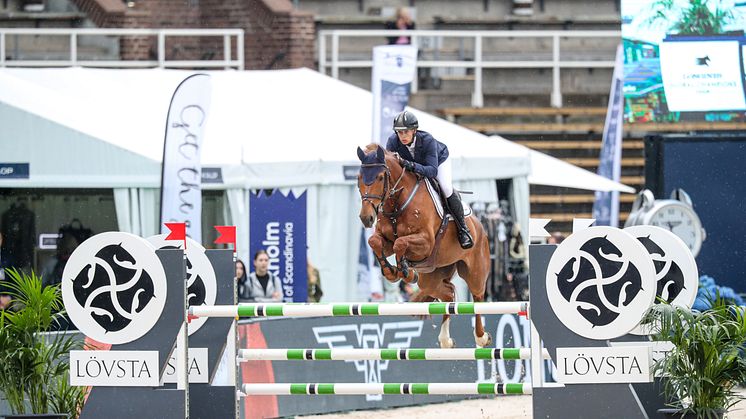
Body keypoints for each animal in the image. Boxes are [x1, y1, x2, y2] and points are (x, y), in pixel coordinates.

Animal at [356, 144, 492, 348]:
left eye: (380, 177)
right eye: (359, 177)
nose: (366, 218)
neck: (398, 203)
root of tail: (480, 227)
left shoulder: (426, 242)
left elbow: (400, 243)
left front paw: (405, 271)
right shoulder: (385, 240)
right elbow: (376, 242)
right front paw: (392, 271)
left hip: (474, 270)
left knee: (478, 297)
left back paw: (481, 337)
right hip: (431, 277)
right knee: (448, 294)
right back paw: (445, 340)